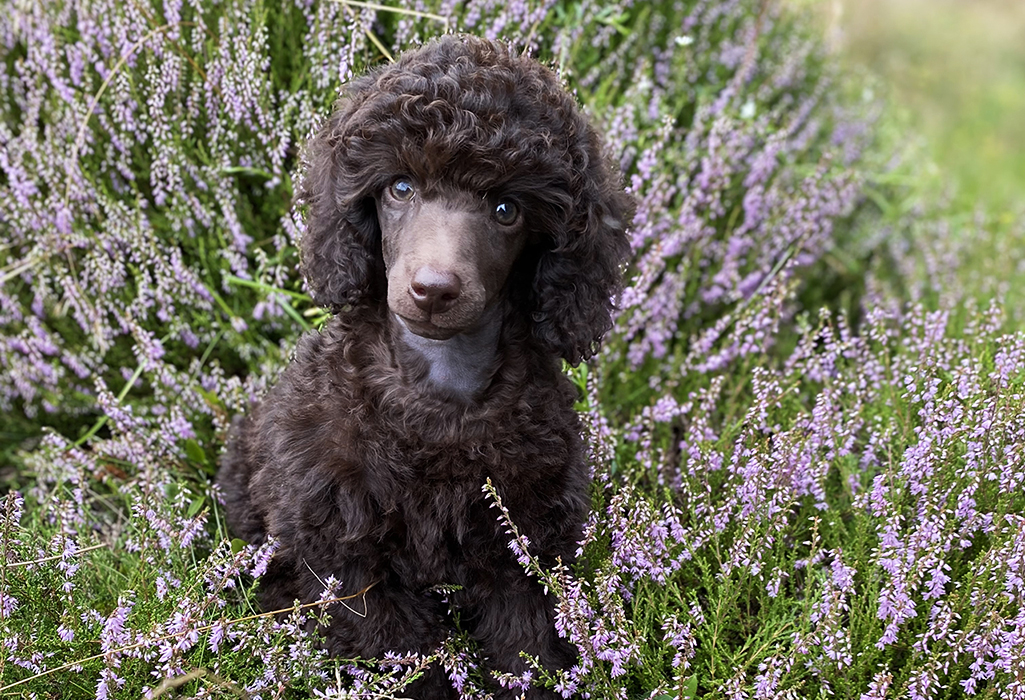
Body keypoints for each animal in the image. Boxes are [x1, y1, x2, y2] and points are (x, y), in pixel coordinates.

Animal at [220, 34, 627, 700]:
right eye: (400, 189)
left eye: (507, 209)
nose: (433, 289)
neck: (439, 386)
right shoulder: (350, 556)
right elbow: (399, 654)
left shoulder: (525, 538)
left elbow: (526, 643)